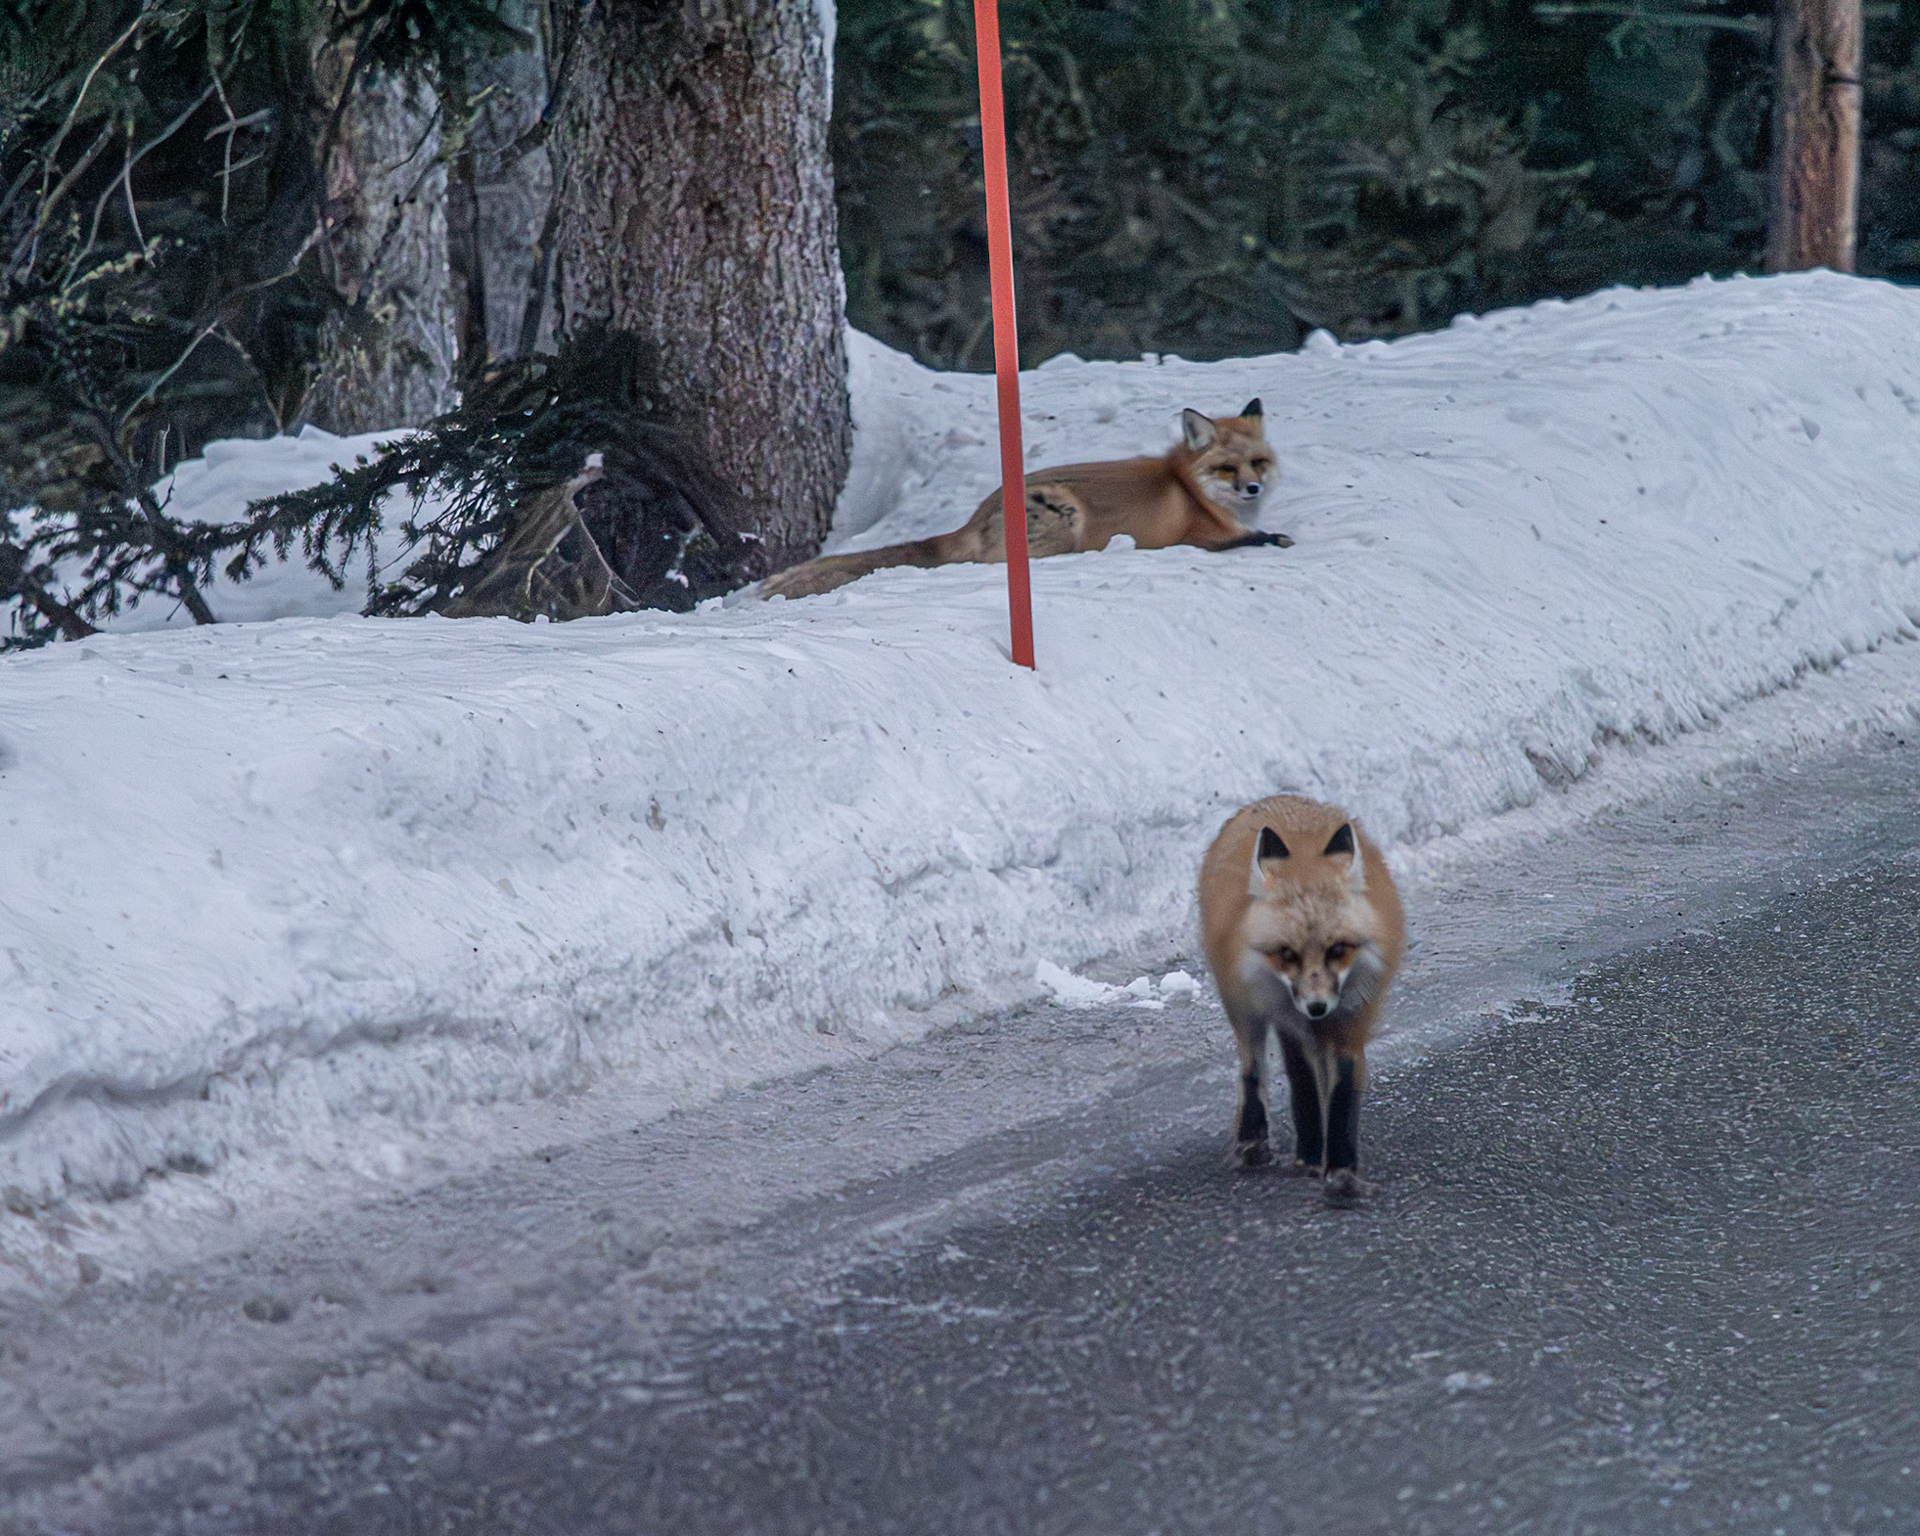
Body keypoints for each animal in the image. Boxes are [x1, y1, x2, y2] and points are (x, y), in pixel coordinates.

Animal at [758, 399, 1291, 600]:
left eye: (1258, 463)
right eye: (1227, 469)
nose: (1252, 489)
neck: (1190, 489)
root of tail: (974, 518)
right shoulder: (1198, 537)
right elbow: (1248, 540)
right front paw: (1273, 538)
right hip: (1063, 514)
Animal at [1198, 795, 1405, 1197]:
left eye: (1338, 950)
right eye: (1287, 954)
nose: (1317, 1006)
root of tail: (1275, 799)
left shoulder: (1352, 1017)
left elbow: (1342, 1091)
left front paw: (1340, 1167)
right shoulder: (1288, 1020)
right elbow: (1302, 1081)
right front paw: (1312, 1152)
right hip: (1245, 1007)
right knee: (1253, 1067)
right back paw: (1257, 1139)